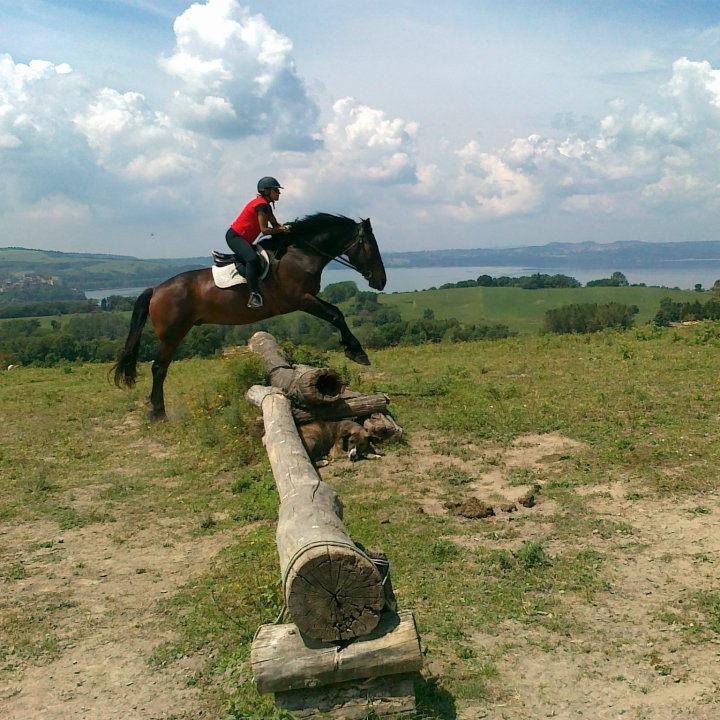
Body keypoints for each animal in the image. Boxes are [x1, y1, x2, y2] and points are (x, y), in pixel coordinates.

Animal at [111, 211, 388, 420]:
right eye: (371, 246)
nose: (381, 282)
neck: (300, 254)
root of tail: (156, 289)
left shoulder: (307, 298)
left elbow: (337, 312)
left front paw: (354, 349)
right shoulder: (301, 299)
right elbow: (335, 316)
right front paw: (357, 352)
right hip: (173, 334)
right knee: (159, 368)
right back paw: (158, 412)